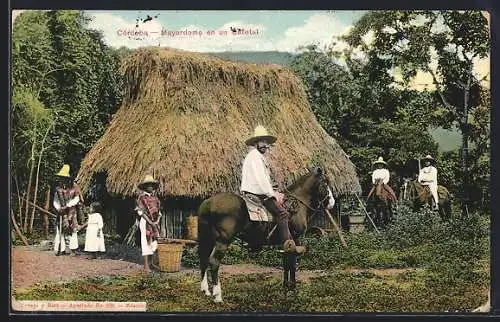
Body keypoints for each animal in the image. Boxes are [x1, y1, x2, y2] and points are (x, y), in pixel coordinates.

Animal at [196, 167, 336, 304]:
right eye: (325, 183)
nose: (332, 203)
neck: (297, 204)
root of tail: (208, 202)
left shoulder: (285, 243)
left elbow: (286, 263)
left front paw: (286, 287)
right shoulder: (296, 239)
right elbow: (291, 263)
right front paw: (293, 288)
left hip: (207, 240)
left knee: (203, 259)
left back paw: (205, 290)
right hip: (222, 241)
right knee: (214, 262)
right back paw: (218, 296)